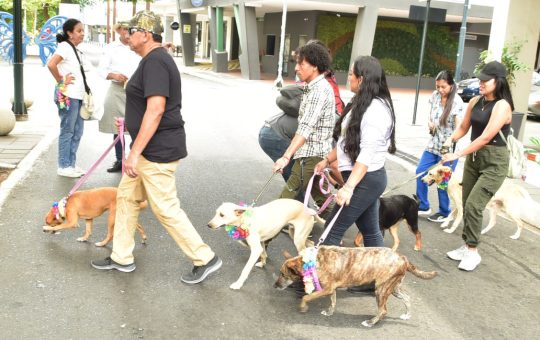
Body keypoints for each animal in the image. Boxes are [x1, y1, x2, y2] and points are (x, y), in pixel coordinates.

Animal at [274, 246, 438, 328]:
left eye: (283, 274)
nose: (275, 286)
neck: (311, 262)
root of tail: (403, 258)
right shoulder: (331, 289)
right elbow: (333, 301)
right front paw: (329, 312)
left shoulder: (326, 289)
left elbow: (306, 296)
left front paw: (303, 307)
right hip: (393, 287)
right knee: (407, 298)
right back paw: (407, 315)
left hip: (381, 289)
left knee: (383, 311)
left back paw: (370, 322)